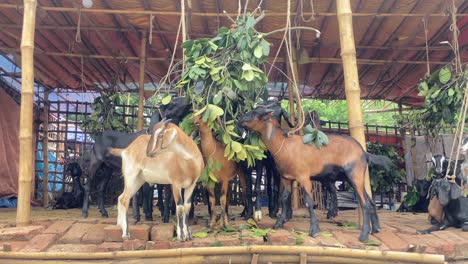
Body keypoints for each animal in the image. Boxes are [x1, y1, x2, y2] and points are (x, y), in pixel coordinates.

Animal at [241, 105, 380, 241]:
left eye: (256, 113)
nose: (239, 120)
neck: (285, 145)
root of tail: (364, 153)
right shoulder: (286, 177)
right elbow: (285, 198)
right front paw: (279, 223)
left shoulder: (304, 177)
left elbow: (308, 202)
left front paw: (314, 230)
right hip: (353, 177)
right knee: (370, 201)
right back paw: (375, 229)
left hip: (354, 174)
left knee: (364, 203)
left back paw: (364, 235)